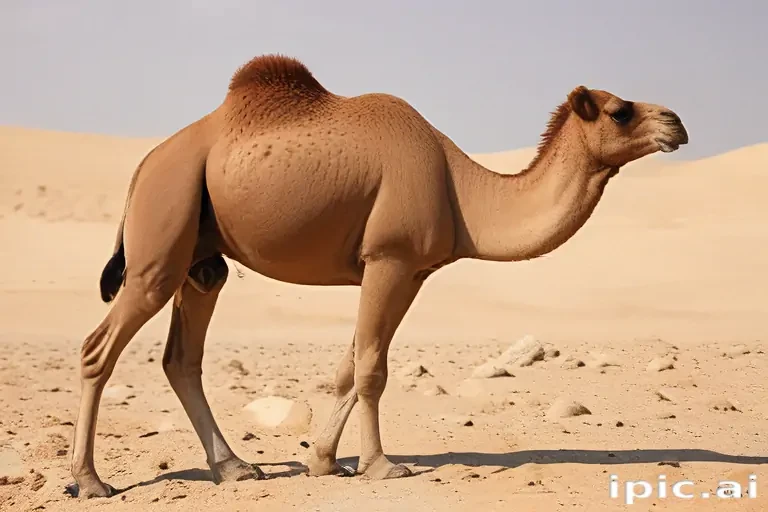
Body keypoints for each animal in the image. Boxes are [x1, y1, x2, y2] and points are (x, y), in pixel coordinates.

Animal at [67, 54, 688, 498]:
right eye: (621, 110)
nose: (678, 123)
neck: (461, 190)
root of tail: (144, 165)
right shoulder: (388, 257)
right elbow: (372, 370)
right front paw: (381, 465)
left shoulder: (412, 271)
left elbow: (352, 364)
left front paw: (321, 460)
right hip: (161, 230)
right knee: (99, 348)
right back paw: (92, 481)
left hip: (200, 258)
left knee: (182, 355)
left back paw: (236, 469)